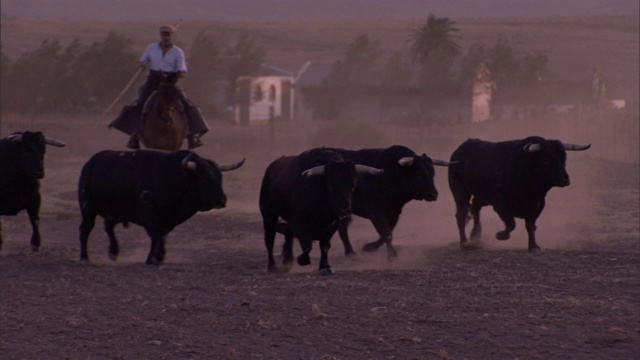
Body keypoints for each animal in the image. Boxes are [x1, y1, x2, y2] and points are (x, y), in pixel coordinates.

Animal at [75, 149, 245, 264]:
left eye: (220, 178)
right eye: (203, 179)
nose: (222, 201)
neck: (173, 176)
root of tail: (91, 162)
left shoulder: (167, 221)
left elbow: (160, 236)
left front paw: (156, 257)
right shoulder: (149, 214)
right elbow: (156, 235)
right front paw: (155, 258)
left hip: (111, 211)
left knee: (109, 228)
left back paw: (113, 252)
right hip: (87, 207)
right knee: (85, 229)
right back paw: (84, 257)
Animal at [444, 136, 592, 252]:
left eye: (564, 158)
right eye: (546, 159)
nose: (564, 179)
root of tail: (459, 151)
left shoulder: (538, 205)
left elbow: (530, 226)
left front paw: (534, 246)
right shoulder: (501, 204)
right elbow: (511, 224)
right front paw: (500, 235)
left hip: (482, 195)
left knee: (475, 208)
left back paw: (476, 238)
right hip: (460, 191)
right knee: (461, 215)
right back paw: (464, 243)